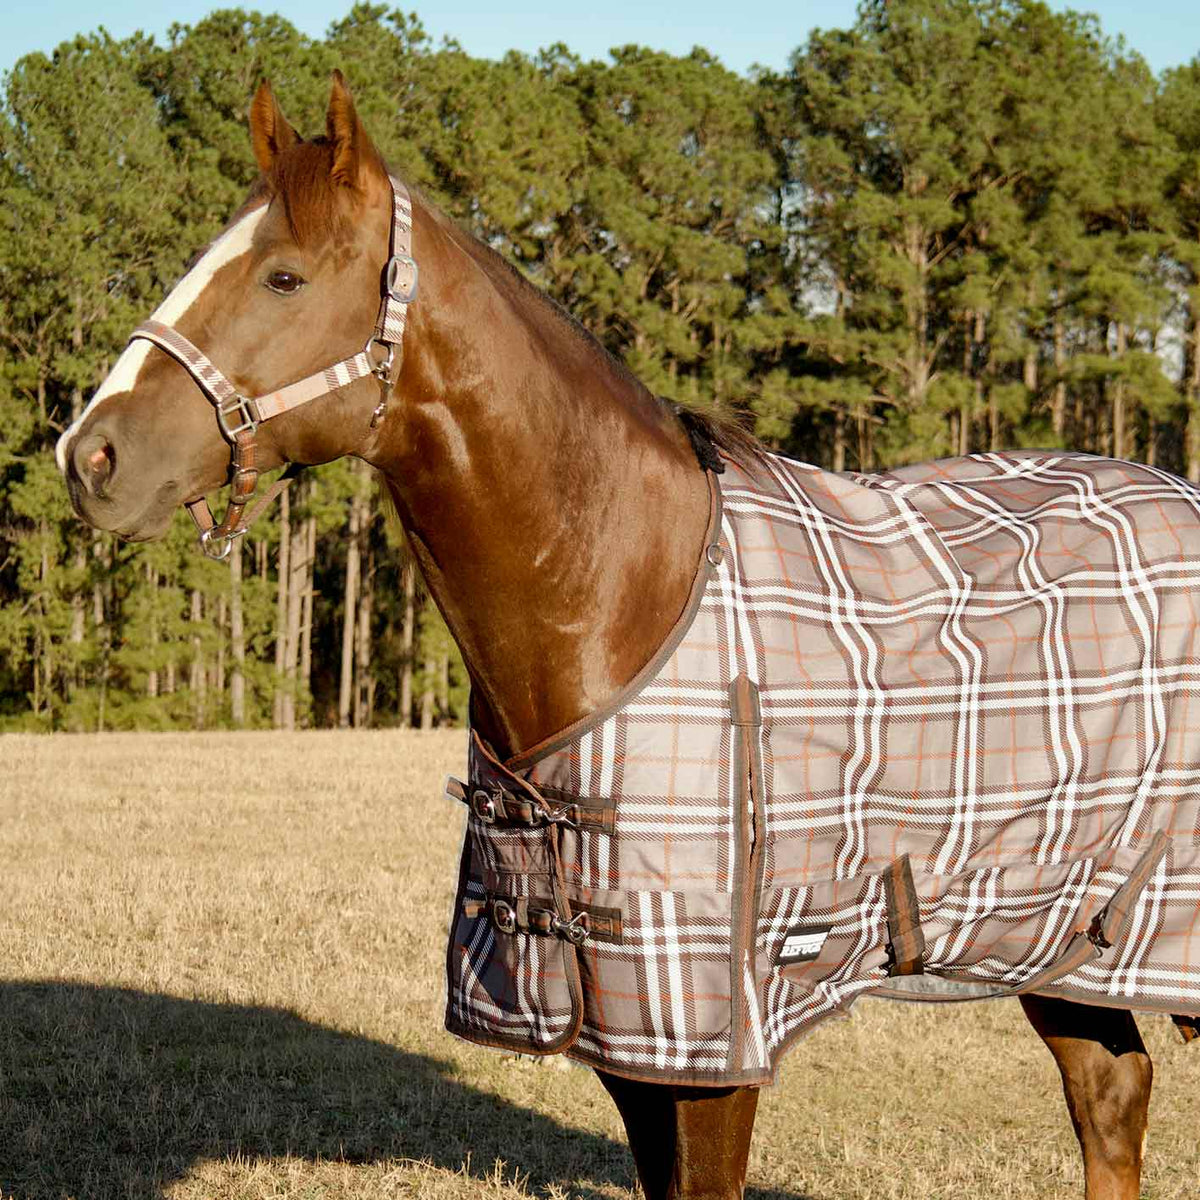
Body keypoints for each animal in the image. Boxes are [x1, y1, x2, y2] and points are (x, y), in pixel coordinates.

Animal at [57, 72, 1170, 1200]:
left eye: (282, 277)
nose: (89, 456)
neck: (623, 594)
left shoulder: (713, 1036)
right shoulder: (628, 1038)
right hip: (1058, 939)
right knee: (1108, 1096)